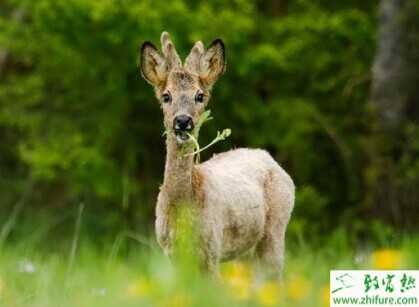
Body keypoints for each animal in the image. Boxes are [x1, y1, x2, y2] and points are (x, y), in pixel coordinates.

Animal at [139, 32, 294, 278]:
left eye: (200, 96)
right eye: (166, 96)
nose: (183, 121)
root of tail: (268, 158)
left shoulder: (212, 247)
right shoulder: (171, 251)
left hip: (276, 228)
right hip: (246, 252)